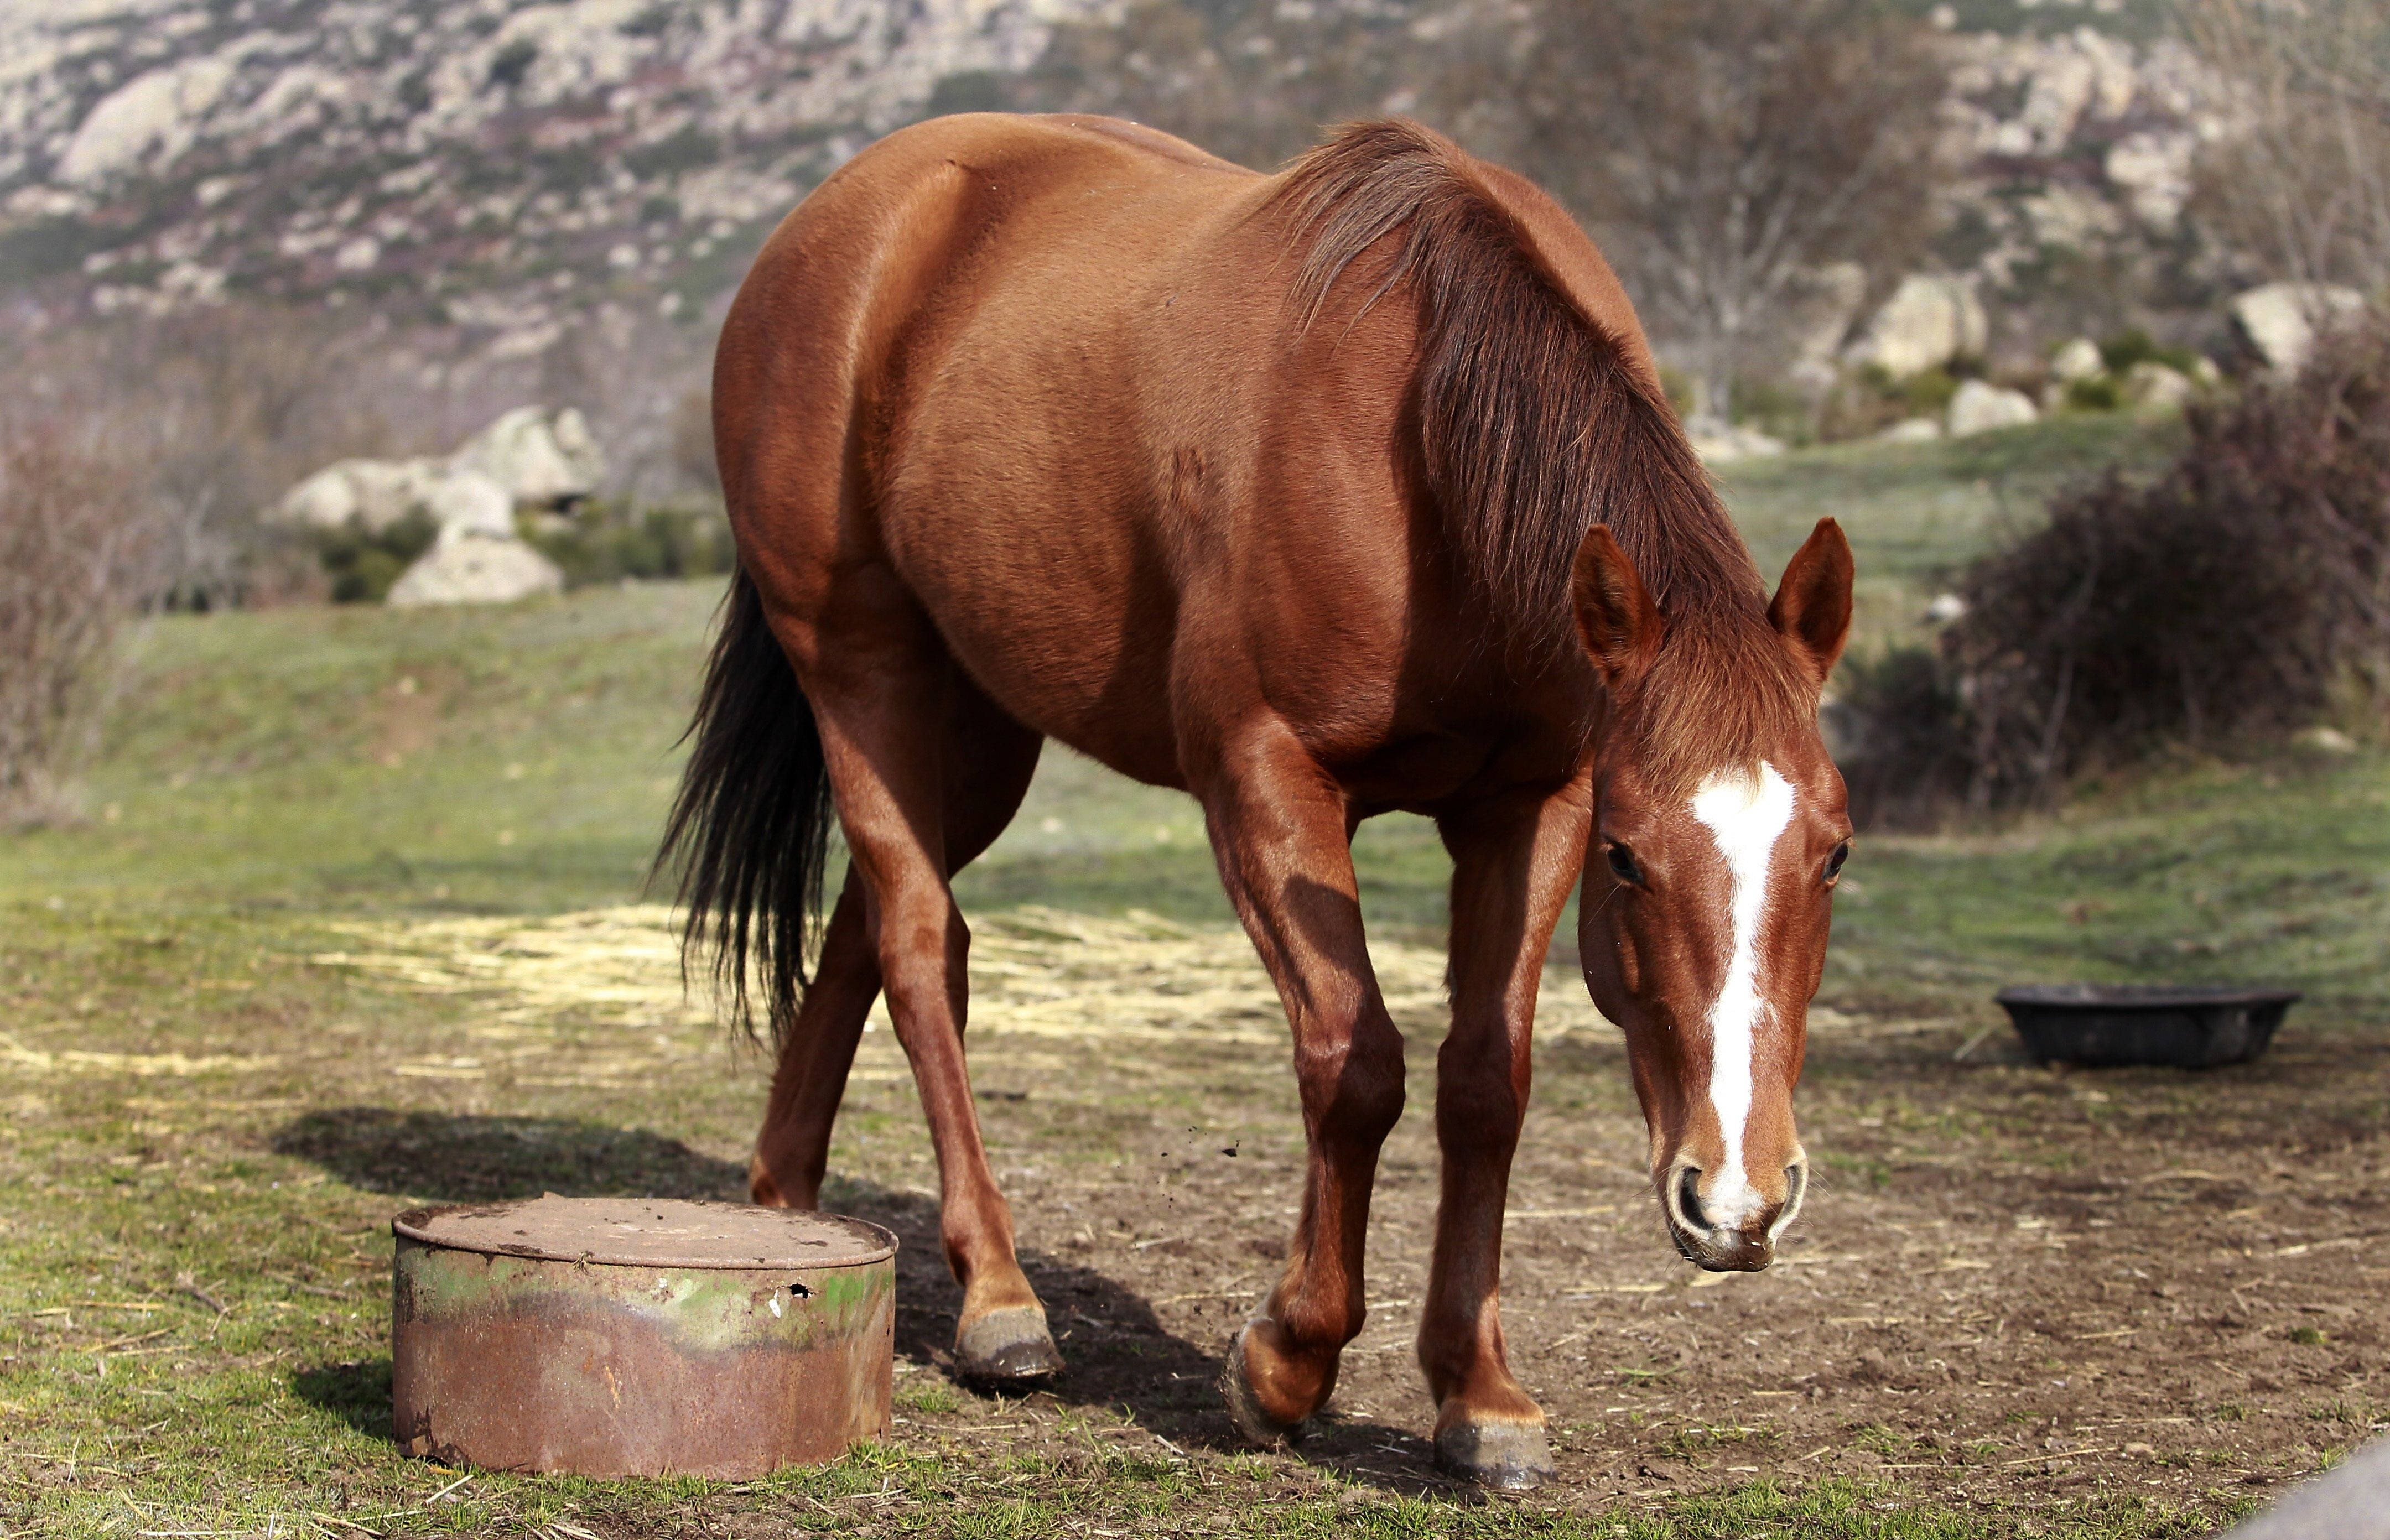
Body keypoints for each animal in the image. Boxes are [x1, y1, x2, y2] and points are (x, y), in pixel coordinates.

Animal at [664, 114, 1854, 1482]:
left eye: (1835, 854)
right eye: (1632, 859)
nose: (1740, 1197)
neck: (1415, 444)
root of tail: (847, 215)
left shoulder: (1531, 799)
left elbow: (1485, 1083)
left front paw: (1481, 1395)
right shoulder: (1265, 778)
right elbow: (1357, 1063)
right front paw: (1289, 1361)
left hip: (976, 731)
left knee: (869, 924)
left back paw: (785, 1208)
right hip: (863, 674)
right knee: (919, 945)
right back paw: (998, 1300)